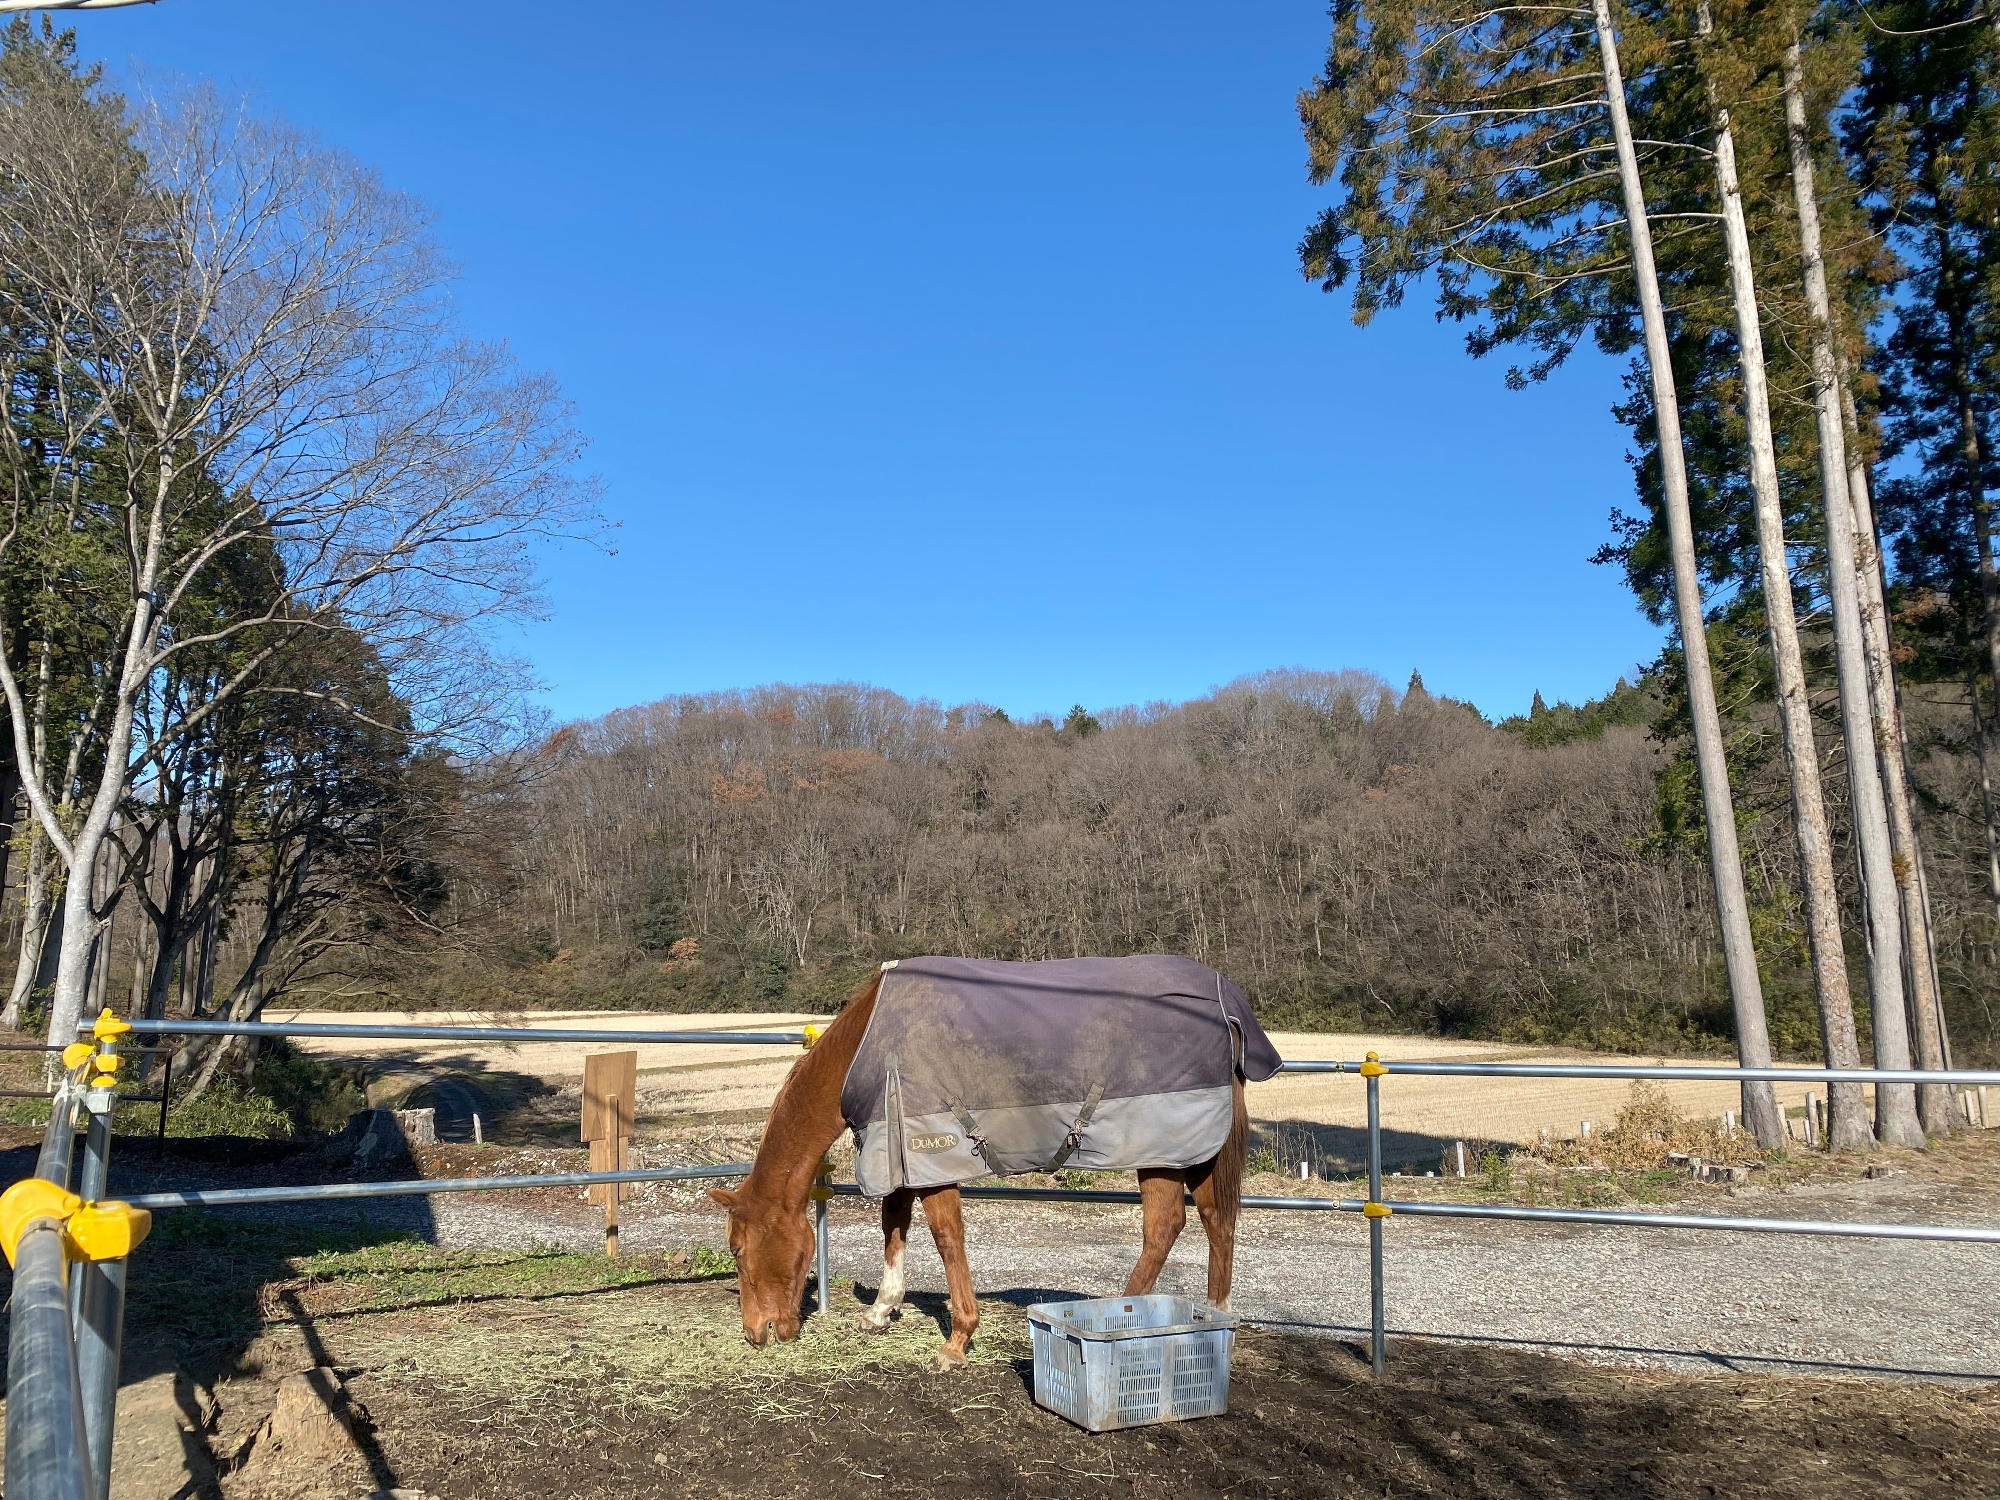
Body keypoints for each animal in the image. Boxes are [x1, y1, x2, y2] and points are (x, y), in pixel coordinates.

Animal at [708, 964, 1264, 1376]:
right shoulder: (900, 1149)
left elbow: (946, 1236)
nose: (755, 1334)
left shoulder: (931, 1158)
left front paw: (956, 1342)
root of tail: (1227, 1014)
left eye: (737, 1249)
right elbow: (894, 1225)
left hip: (1161, 1154)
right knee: (1215, 1223)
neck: (871, 1044)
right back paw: (1214, 1318)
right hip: (1194, 1155)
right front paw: (882, 1311)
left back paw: (1117, 1320)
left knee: (1164, 1227)